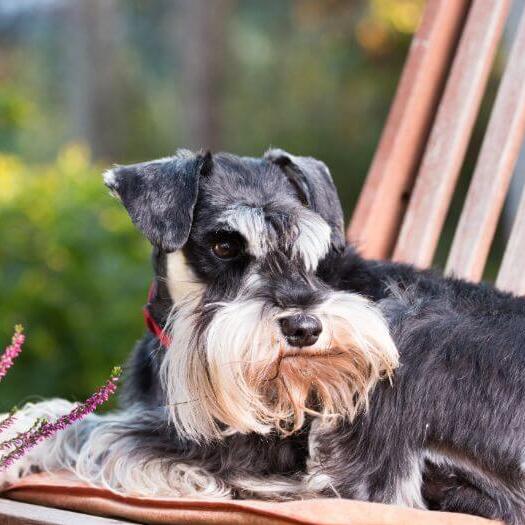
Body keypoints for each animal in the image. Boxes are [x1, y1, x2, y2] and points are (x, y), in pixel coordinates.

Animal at [4, 149, 524, 520]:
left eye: (313, 248)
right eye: (223, 244)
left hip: (411, 331)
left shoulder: (249, 445)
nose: (305, 327)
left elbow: (100, 430)